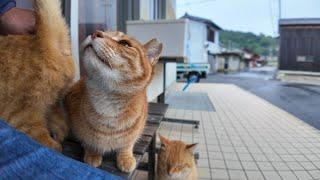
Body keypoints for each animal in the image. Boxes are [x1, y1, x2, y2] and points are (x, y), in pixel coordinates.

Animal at [64, 30, 161, 172]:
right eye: (104, 31)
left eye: (125, 43)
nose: (95, 32)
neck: (108, 101)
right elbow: (88, 141)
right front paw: (93, 153)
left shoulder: (135, 132)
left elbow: (127, 144)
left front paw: (125, 158)